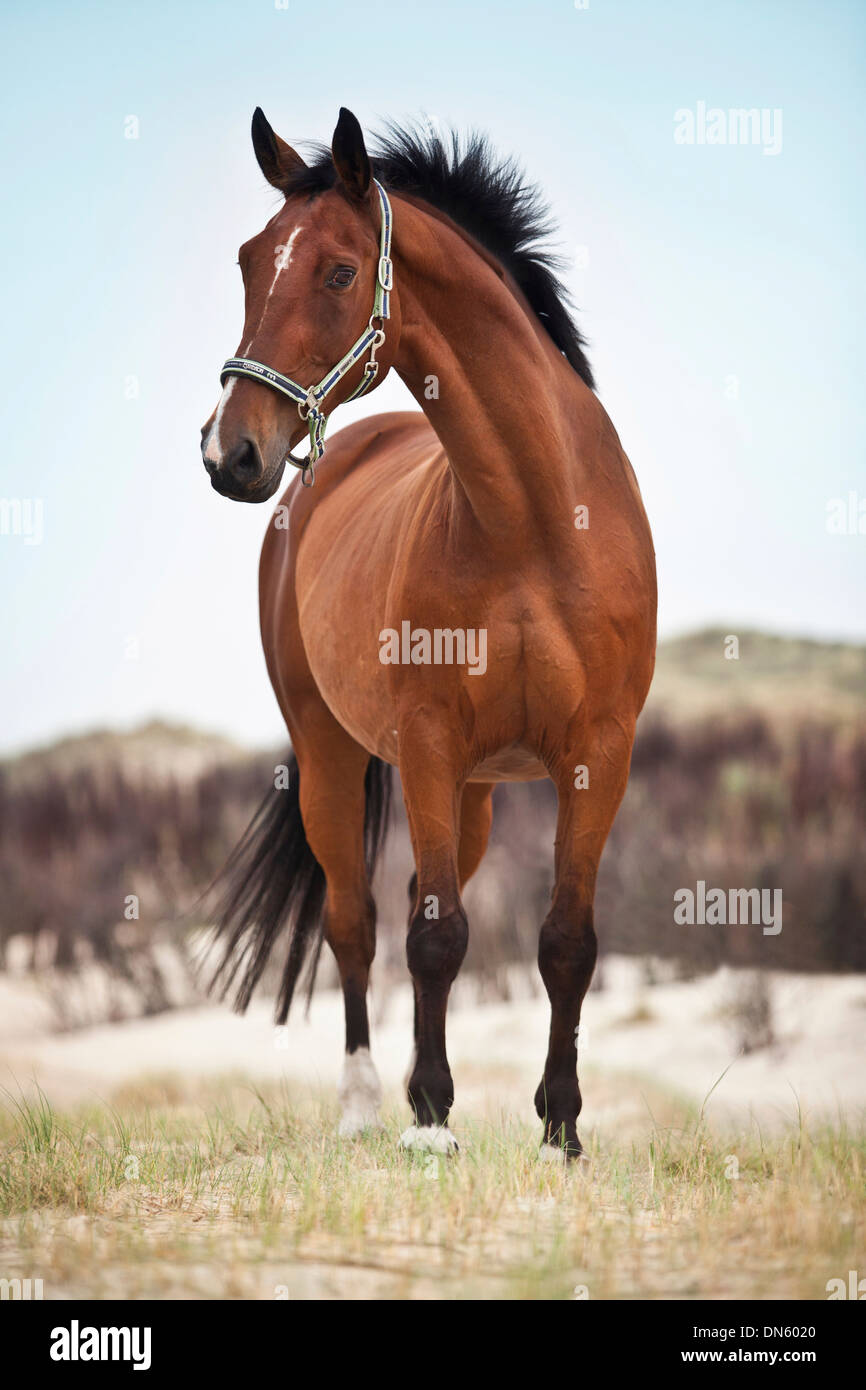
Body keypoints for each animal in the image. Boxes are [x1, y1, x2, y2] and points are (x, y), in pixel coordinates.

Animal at [198, 102, 656, 1156]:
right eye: (248, 261)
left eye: (336, 272)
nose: (229, 451)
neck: (534, 520)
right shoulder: (430, 743)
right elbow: (437, 937)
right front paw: (437, 1127)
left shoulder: (596, 753)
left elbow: (566, 940)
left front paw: (560, 1130)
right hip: (334, 757)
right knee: (357, 921)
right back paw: (370, 1106)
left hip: (478, 791)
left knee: (408, 905)